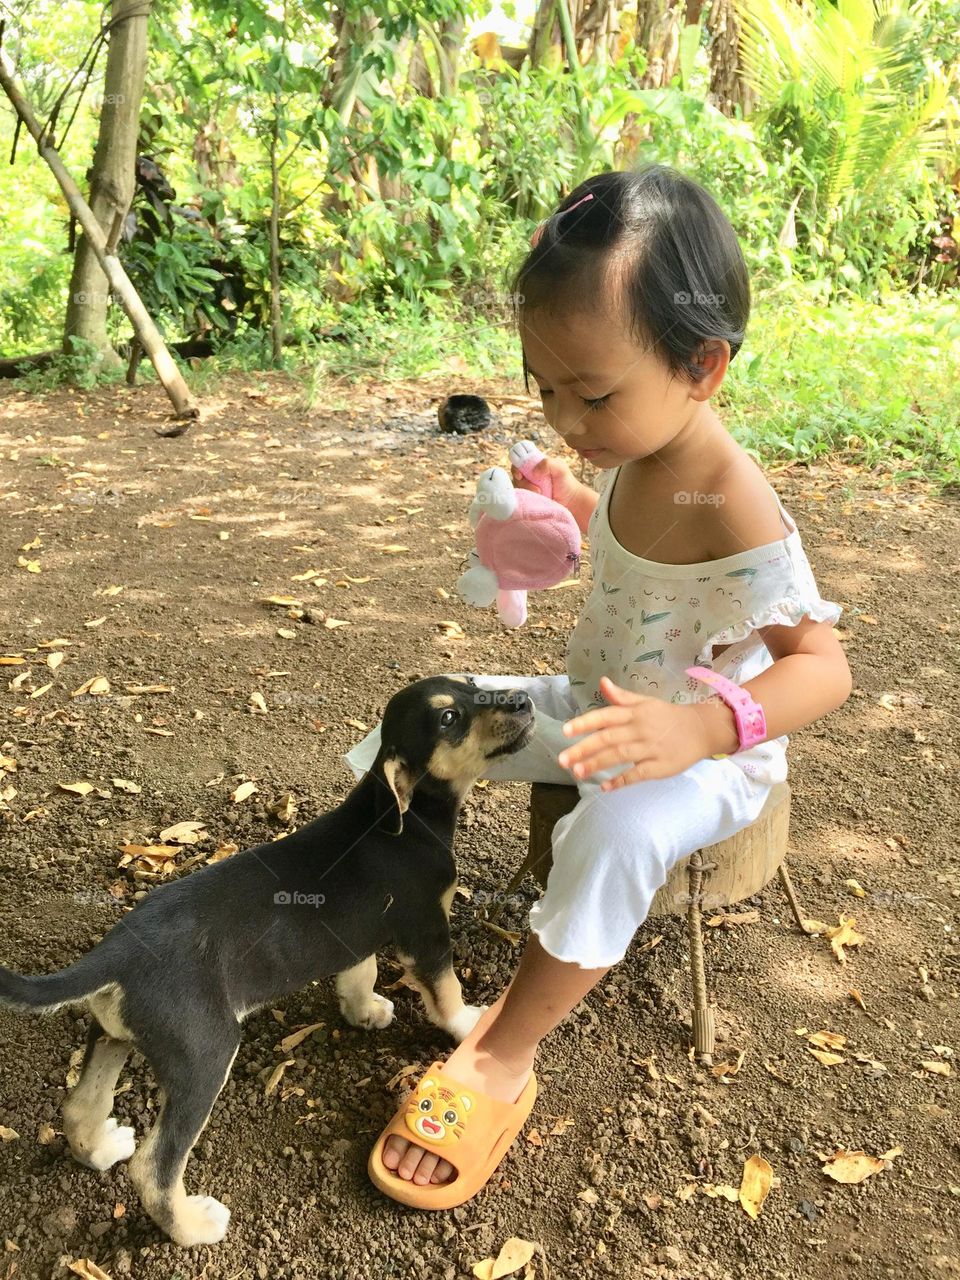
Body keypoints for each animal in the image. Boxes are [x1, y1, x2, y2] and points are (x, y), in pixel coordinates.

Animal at [0, 675, 535, 1244]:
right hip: (205, 1056)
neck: (401, 819)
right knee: (152, 1168)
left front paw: (364, 1011)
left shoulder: (356, 935)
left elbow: (359, 973)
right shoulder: (427, 932)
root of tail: (115, 951)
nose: (524, 700)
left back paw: (101, 1149)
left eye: (473, 685)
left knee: (79, 1107)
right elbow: (447, 989)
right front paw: (468, 1027)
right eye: (449, 717)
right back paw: (193, 1226)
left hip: (114, 1033)